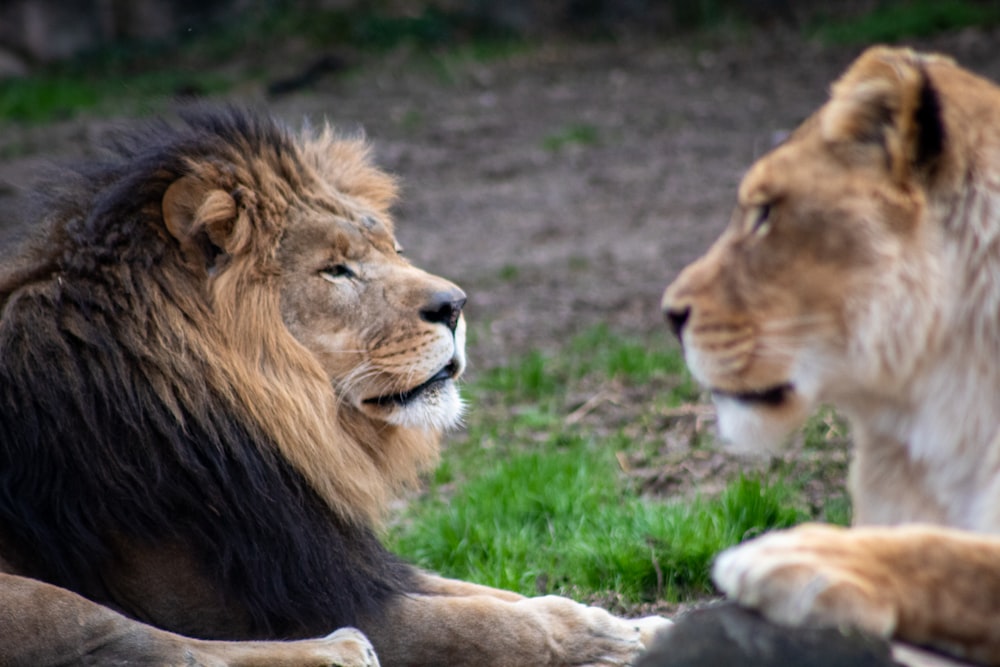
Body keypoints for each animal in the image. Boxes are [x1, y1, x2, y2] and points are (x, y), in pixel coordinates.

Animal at [1, 109, 672, 667]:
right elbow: (482, 625)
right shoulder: (255, 593)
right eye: (336, 270)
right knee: (146, 647)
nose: (455, 306)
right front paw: (606, 638)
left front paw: (635, 627)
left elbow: (493, 594)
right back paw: (338, 651)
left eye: (393, 248)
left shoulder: (334, 560)